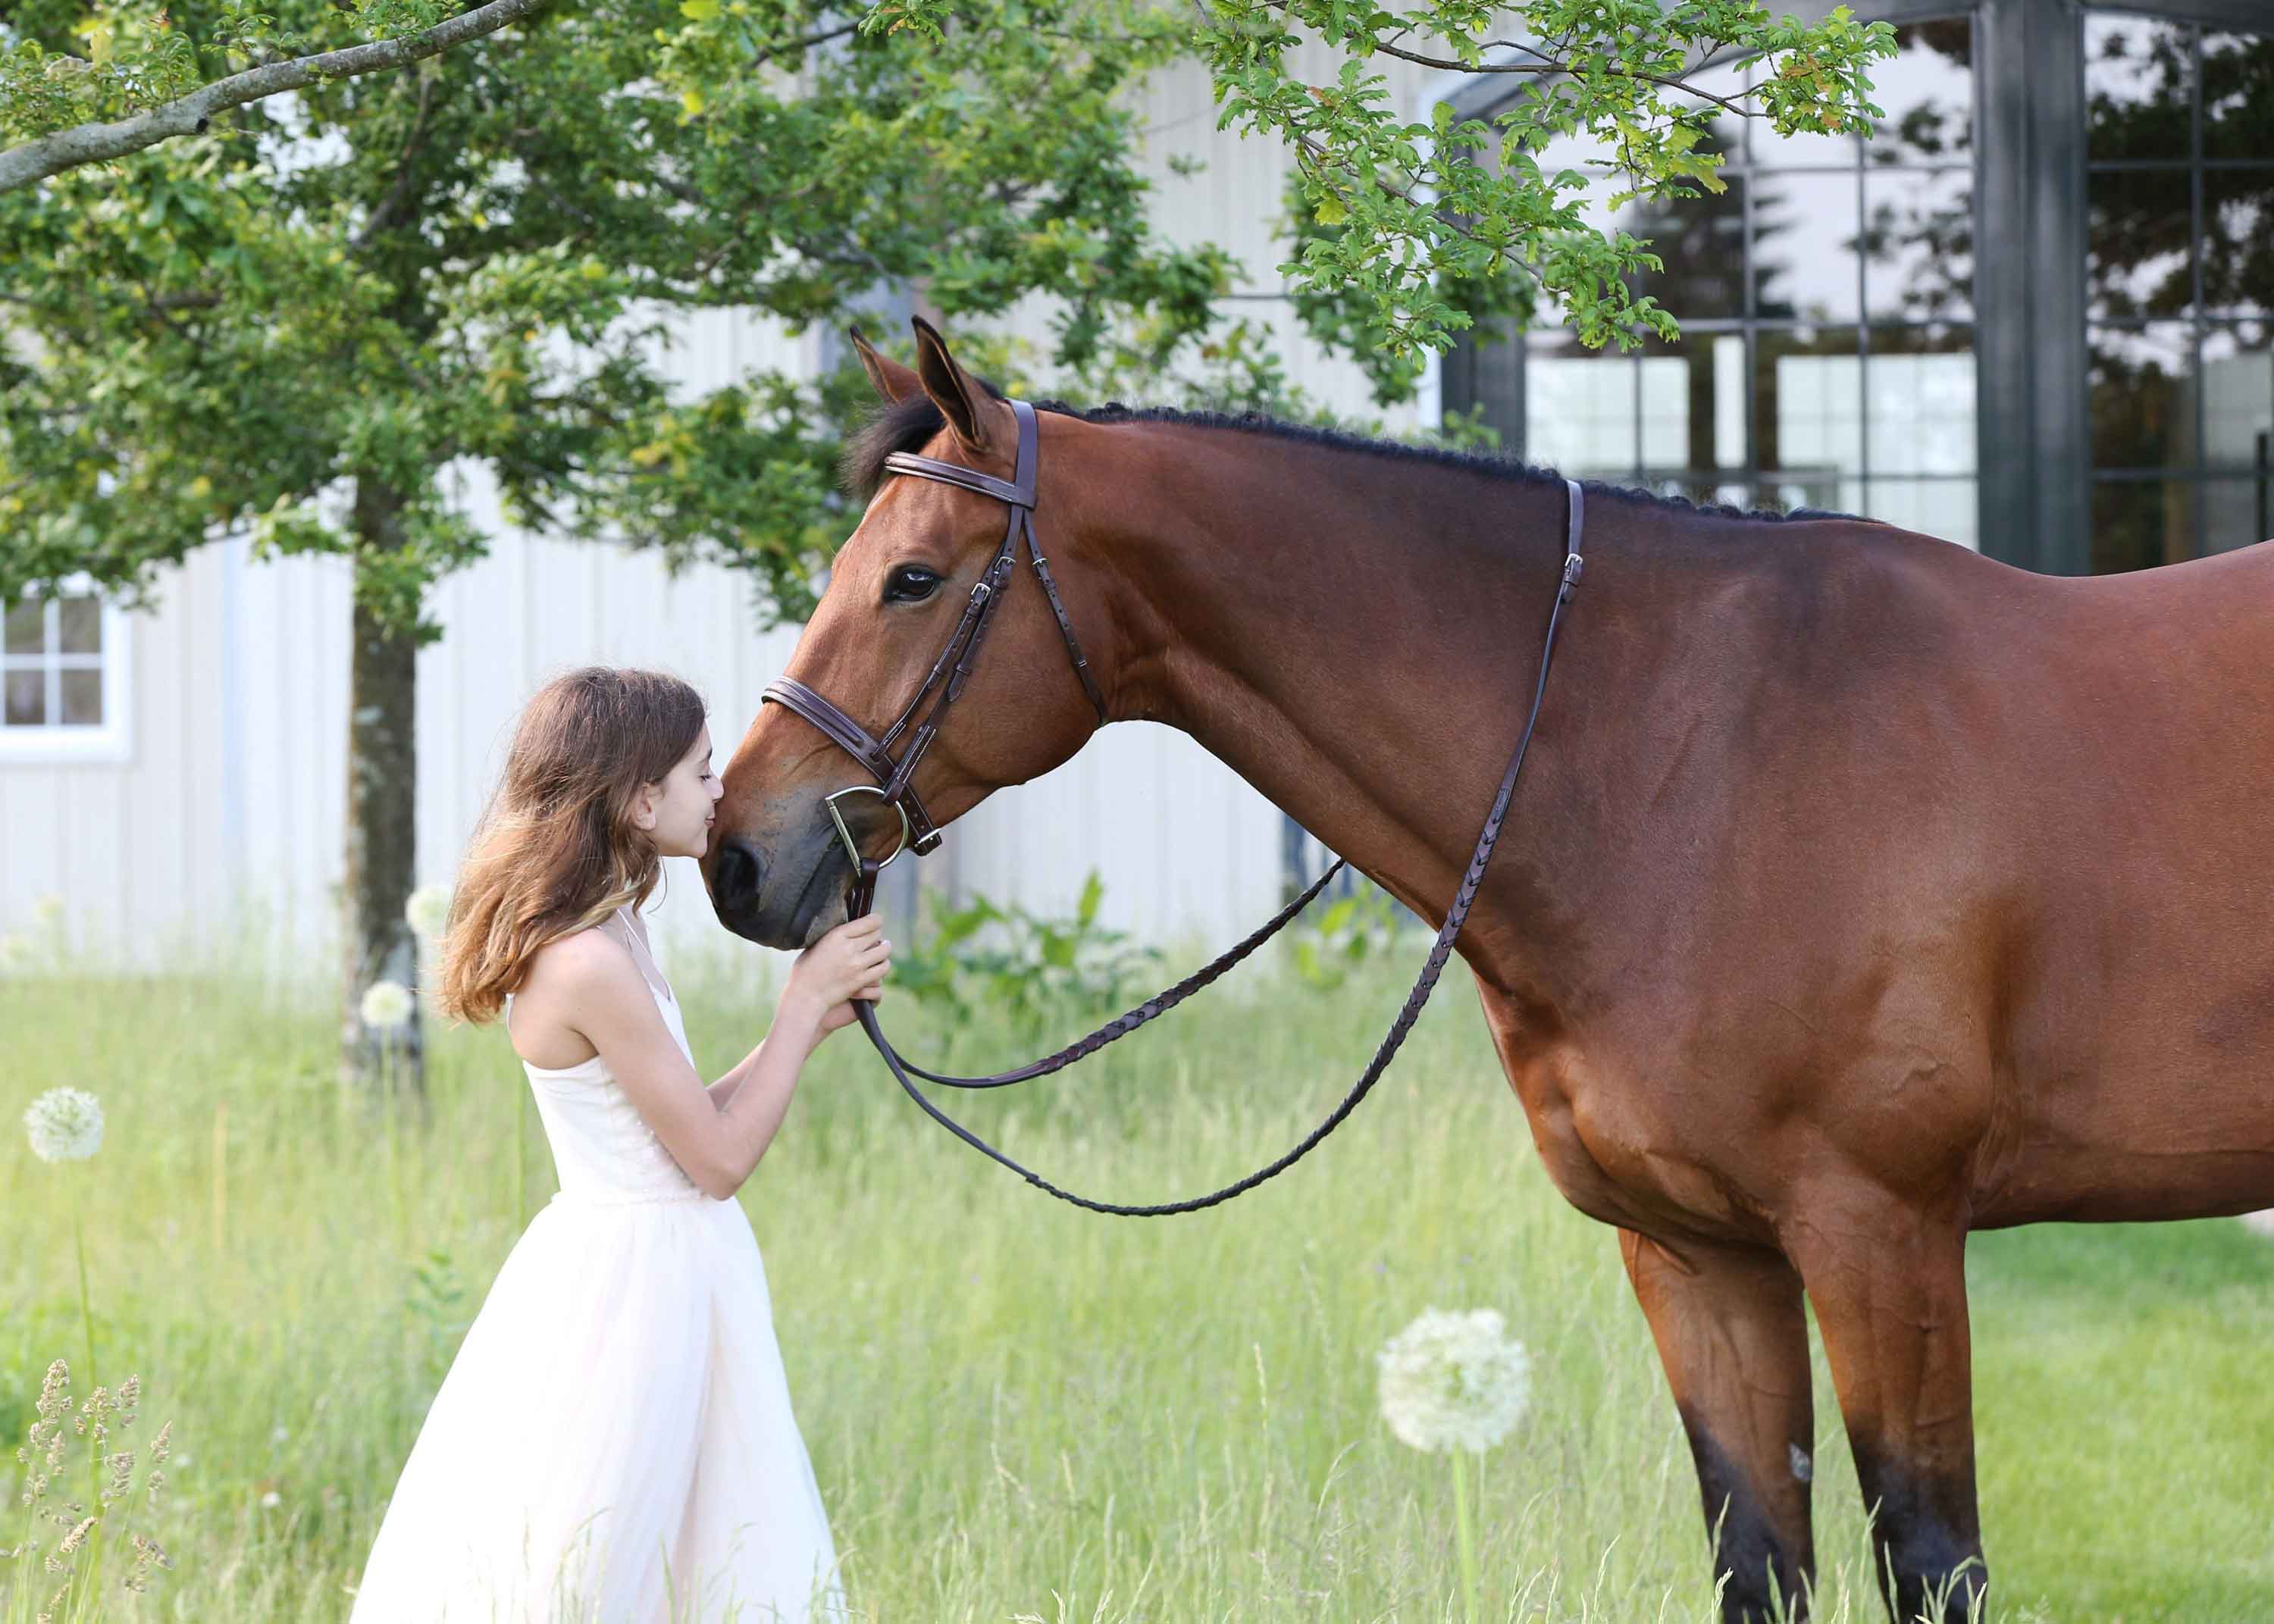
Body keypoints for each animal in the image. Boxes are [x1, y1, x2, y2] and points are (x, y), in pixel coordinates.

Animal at [700, 318, 2274, 1619]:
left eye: (912, 578)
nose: (738, 854)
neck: (1695, 754)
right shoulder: (1698, 1258)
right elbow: (1759, 1560)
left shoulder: (1881, 1235)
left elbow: (1933, 1560)